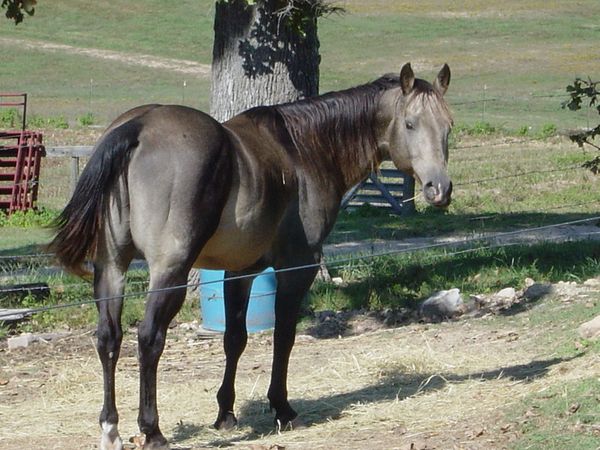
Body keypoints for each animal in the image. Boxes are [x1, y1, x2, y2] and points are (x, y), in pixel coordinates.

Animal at [49, 62, 453, 450]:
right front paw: (282, 408)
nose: (440, 188)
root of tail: (139, 126)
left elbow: (235, 339)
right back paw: (153, 431)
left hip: (112, 267)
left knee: (109, 338)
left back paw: (110, 428)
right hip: (169, 272)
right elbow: (284, 336)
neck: (303, 151)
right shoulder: (297, 267)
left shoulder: (239, 272)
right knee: (149, 338)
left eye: (447, 127)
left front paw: (225, 412)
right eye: (410, 123)